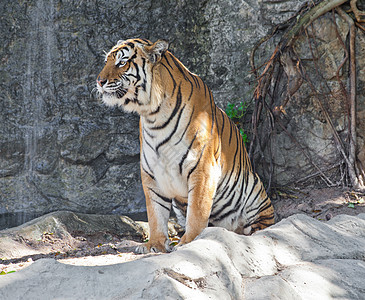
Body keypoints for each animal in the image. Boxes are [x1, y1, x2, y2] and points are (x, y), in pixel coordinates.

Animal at [96, 38, 272, 253]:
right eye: (106, 61)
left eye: (121, 62)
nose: (99, 81)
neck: (153, 115)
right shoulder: (151, 174)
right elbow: (155, 213)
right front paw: (154, 244)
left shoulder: (203, 168)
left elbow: (197, 211)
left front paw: (190, 242)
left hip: (254, 192)